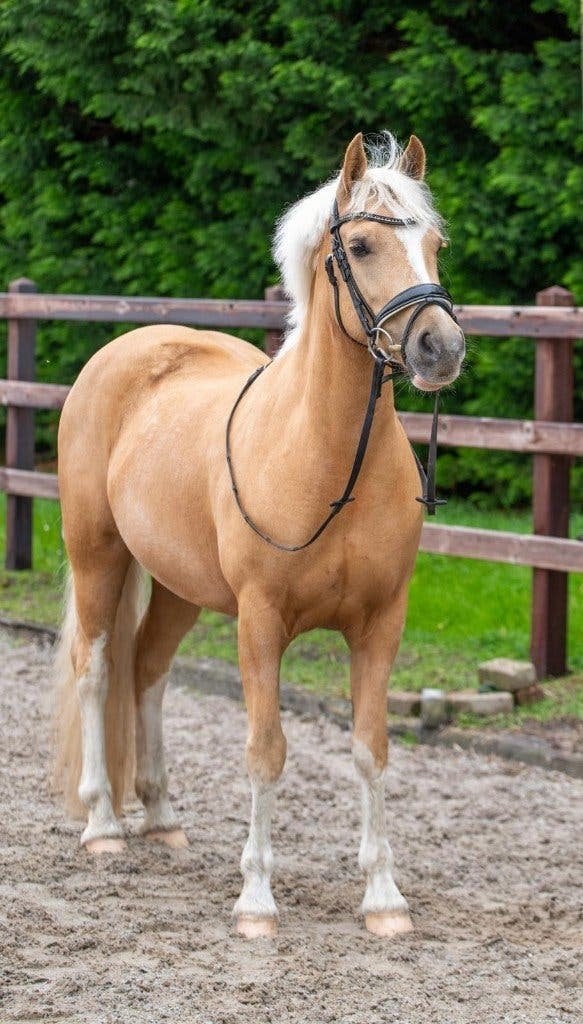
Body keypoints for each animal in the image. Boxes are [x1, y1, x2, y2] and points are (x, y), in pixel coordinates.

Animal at [54, 131, 465, 939]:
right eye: (361, 245)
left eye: (433, 243)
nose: (441, 348)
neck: (326, 458)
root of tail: (129, 348)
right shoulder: (260, 622)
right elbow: (265, 752)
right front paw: (255, 901)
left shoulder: (381, 623)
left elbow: (370, 750)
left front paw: (383, 898)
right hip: (97, 558)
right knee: (96, 668)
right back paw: (104, 826)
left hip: (179, 588)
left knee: (147, 671)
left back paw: (162, 817)